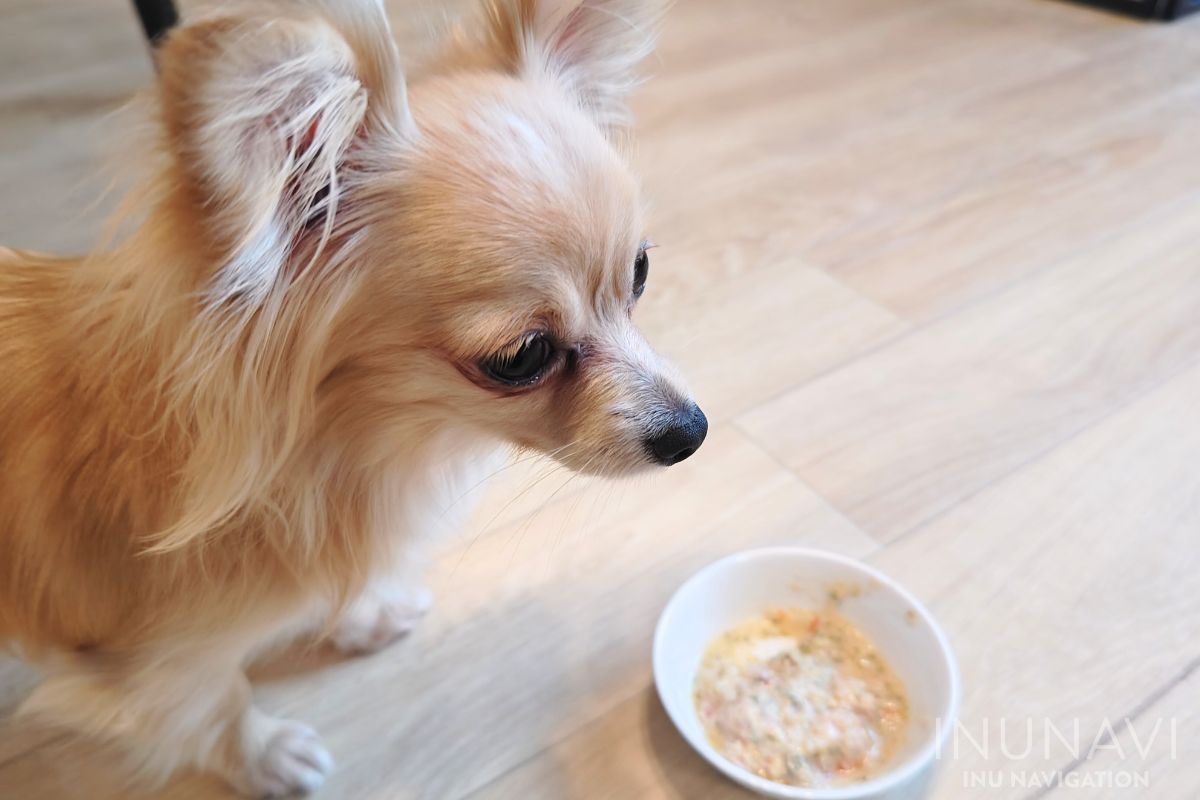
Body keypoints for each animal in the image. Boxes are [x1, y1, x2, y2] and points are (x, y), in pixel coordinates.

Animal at [0, 0, 700, 796]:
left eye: (639, 274)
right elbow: (217, 703)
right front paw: (268, 755)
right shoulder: (151, 661)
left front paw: (360, 615)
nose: (691, 430)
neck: (353, 447)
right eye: (521, 357)